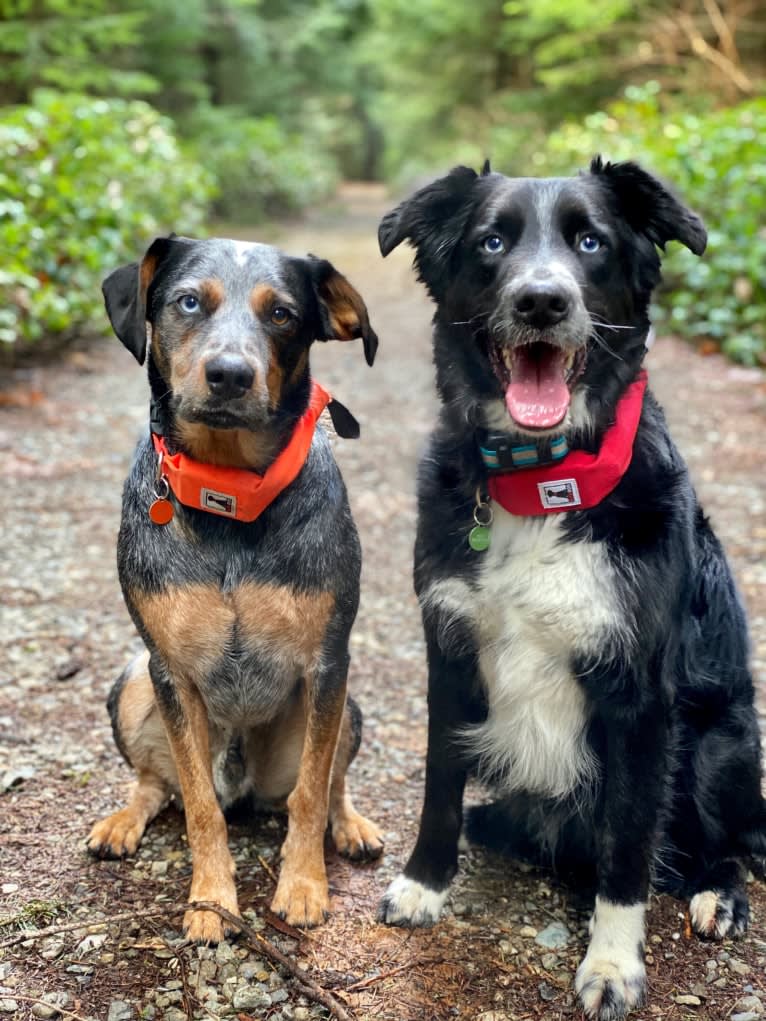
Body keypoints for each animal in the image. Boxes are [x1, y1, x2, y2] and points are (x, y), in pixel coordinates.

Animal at [377, 155, 766, 1016]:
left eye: (591, 242)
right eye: (492, 242)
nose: (542, 301)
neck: (544, 483)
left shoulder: (639, 696)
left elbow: (626, 845)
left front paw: (614, 961)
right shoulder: (449, 654)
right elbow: (439, 786)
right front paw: (424, 884)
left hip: (721, 741)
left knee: (725, 845)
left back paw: (717, 894)